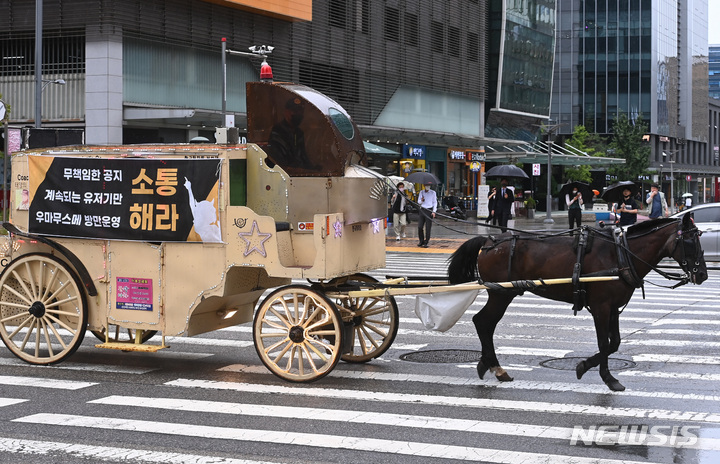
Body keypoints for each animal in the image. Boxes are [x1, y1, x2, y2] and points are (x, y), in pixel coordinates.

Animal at [448, 215, 704, 392]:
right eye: (690, 240)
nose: (702, 274)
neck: (621, 254)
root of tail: (488, 241)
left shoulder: (613, 309)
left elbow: (614, 343)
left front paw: (584, 366)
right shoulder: (601, 307)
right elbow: (604, 343)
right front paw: (608, 378)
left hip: (502, 294)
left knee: (484, 323)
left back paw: (488, 364)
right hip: (501, 294)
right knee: (483, 322)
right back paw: (495, 367)